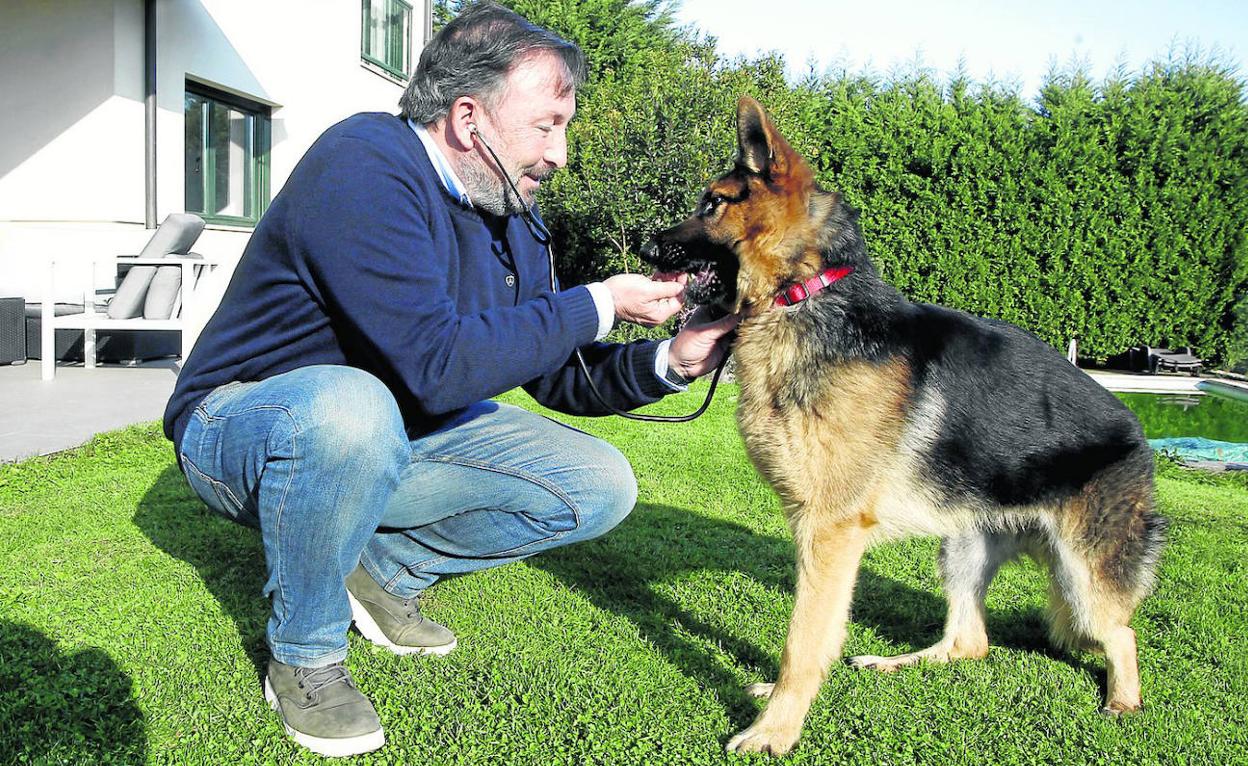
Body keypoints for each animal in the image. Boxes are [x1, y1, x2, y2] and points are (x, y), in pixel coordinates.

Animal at [643, 96, 1168, 758]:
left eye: (712, 203)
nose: (643, 248)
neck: (802, 293)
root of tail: (1139, 433)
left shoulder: (828, 532)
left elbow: (803, 640)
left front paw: (776, 731)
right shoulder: (826, 537)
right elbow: (821, 634)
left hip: (1081, 578)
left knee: (1120, 634)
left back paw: (1123, 699)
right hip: (963, 547)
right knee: (971, 642)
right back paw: (890, 663)